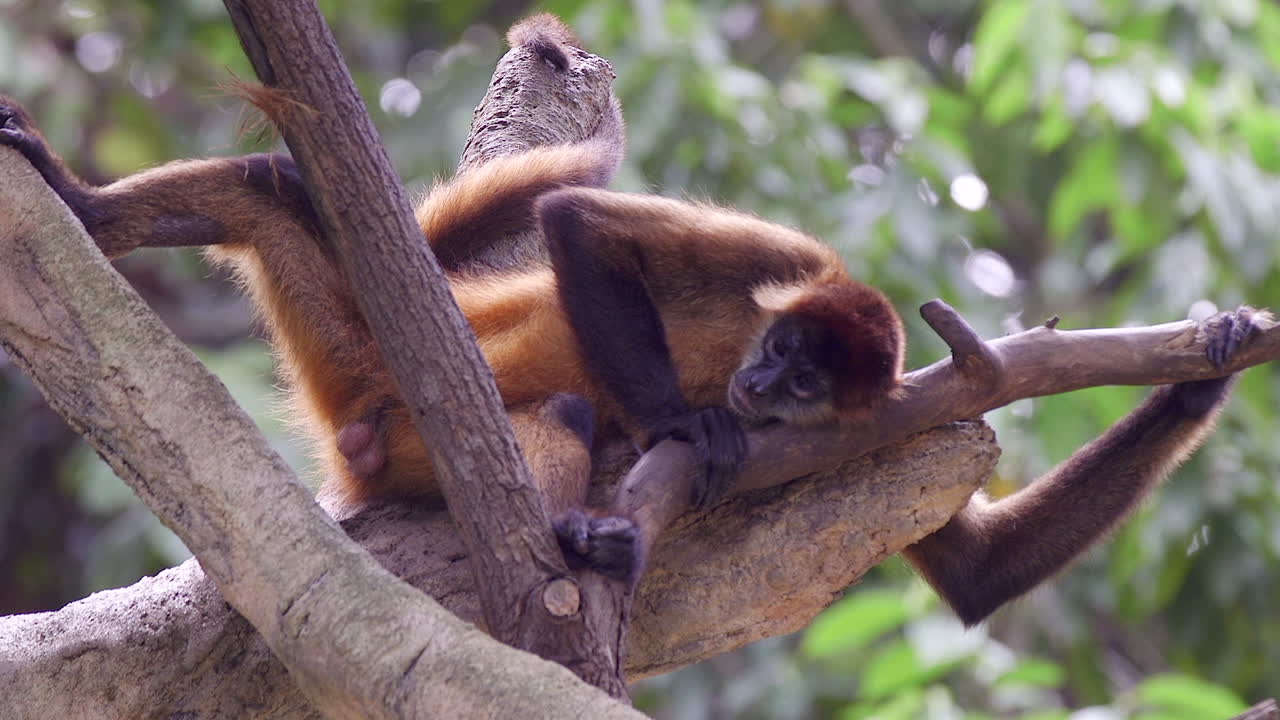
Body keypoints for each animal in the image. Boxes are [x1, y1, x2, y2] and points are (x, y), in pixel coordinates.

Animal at [0, 12, 1265, 620]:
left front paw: (1198, 379)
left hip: (366, 393)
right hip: (373, 367)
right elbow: (574, 225)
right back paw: (75, 203)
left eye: (806, 386)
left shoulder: (877, 419)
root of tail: (357, 423)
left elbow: (976, 578)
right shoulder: (787, 259)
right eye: (778, 350)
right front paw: (683, 428)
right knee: (285, 190)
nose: (757, 390)